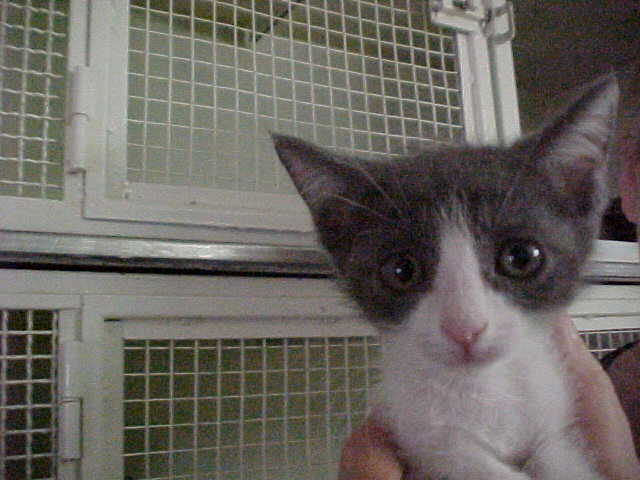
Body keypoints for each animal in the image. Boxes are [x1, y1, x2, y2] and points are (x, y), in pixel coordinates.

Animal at [272, 75, 619, 479]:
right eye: (401, 270)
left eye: (521, 257)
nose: (464, 328)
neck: (484, 388)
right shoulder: (421, 438)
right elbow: (464, 458)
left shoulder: (555, 418)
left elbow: (560, 455)